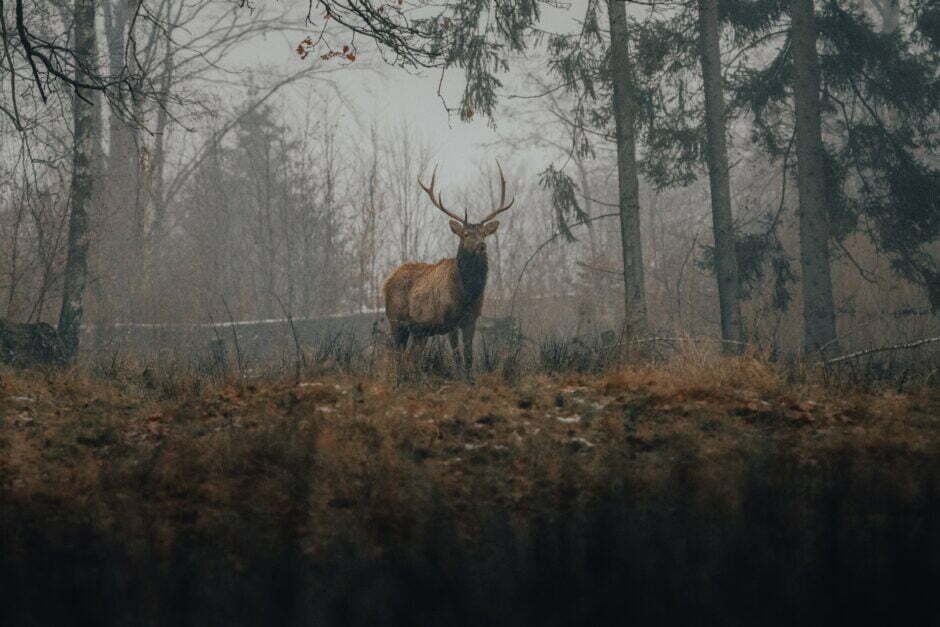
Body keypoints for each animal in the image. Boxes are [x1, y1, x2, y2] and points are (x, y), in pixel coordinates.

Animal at [383, 163, 515, 380]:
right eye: (466, 234)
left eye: (484, 233)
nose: (482, 246)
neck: (467, 294)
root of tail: (386, 281)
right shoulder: (449, 320)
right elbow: (456, 354)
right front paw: (460, 379)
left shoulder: (471, 319)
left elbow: (469, 354)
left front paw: (470, 380)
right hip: (396, 320)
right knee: (397, 355)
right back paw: (399, 381)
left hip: (420, 331)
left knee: (412, 356)